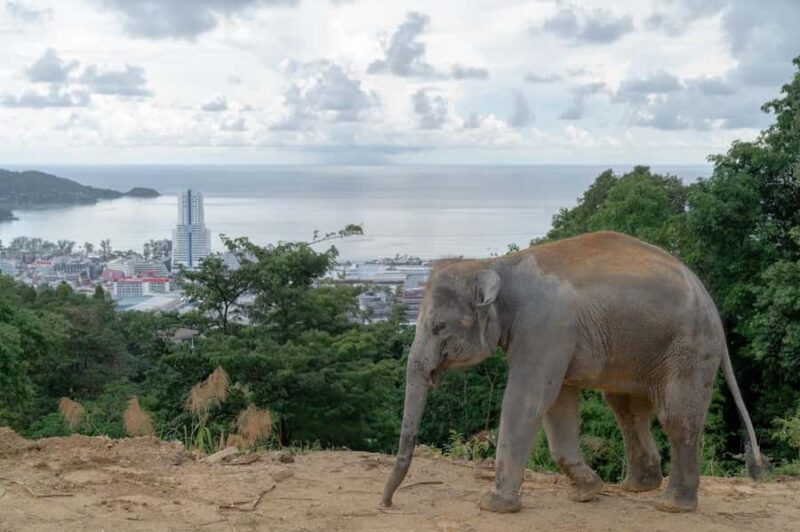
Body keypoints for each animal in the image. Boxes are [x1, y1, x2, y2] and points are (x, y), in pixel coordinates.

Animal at [382, 231, 765, 514]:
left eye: (437, 327)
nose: (387, 504)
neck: (497, 266)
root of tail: (709, 300)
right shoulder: (553, 337)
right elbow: (558, 402)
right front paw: (586, 492)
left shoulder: (545, 326)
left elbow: (528, 397)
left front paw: (493, 505)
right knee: (625, 408)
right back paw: (636, 487)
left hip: (688, 349)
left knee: (676, 416)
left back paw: (672, 504)